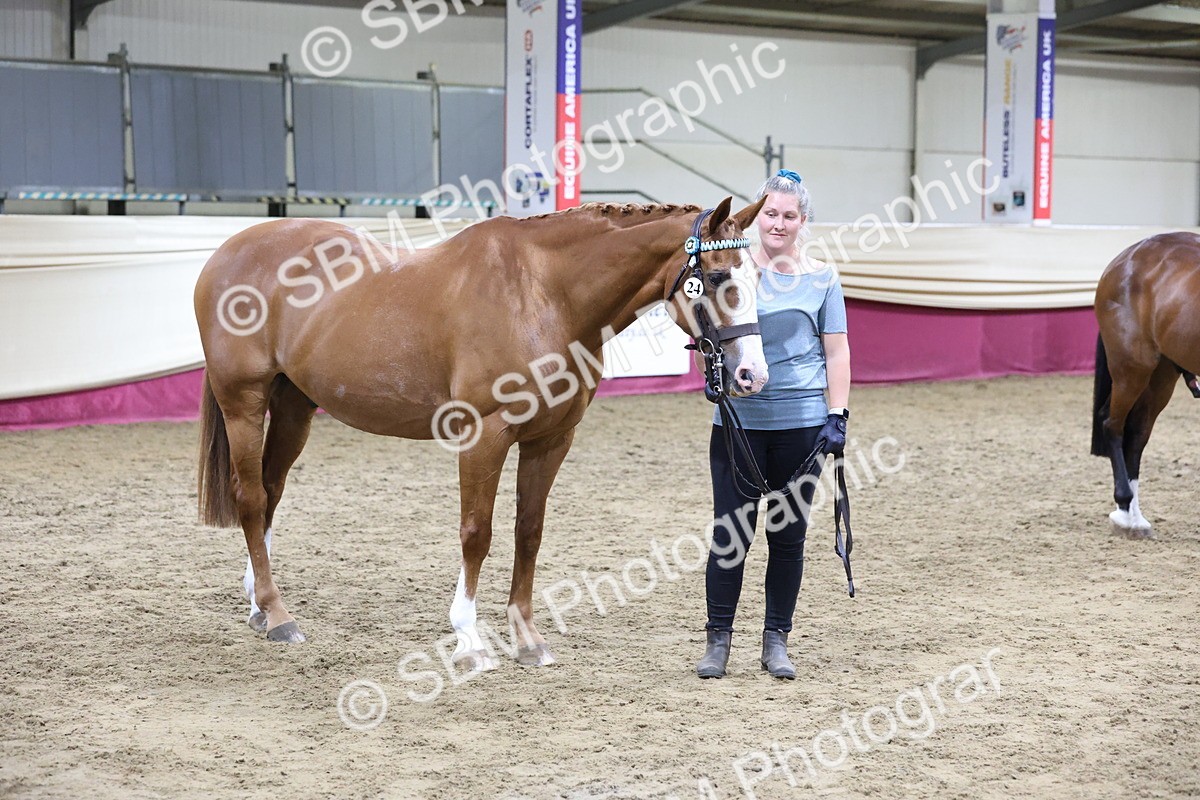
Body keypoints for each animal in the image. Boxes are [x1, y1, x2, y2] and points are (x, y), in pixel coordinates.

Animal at [194, 196, 769, 668]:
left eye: (759, 278)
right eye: (719, 278)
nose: (752, 375)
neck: (544, 295)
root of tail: (226, 252)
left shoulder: (550, 441)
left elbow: (528, 532)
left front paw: (528, 639)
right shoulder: (483, 437)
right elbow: (478, 532)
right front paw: (469, 638)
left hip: (294, 407)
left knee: (270, 493)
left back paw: (258, 603)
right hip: (244, 404)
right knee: (250, 498)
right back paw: (278, 615)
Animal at [1092, 231, 1200, 537]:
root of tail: (1123, 259)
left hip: (1159, 378)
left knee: (1137, 435)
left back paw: (1133, 516)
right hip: (1132, 369)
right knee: (1113, 425)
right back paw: (1124, 509)